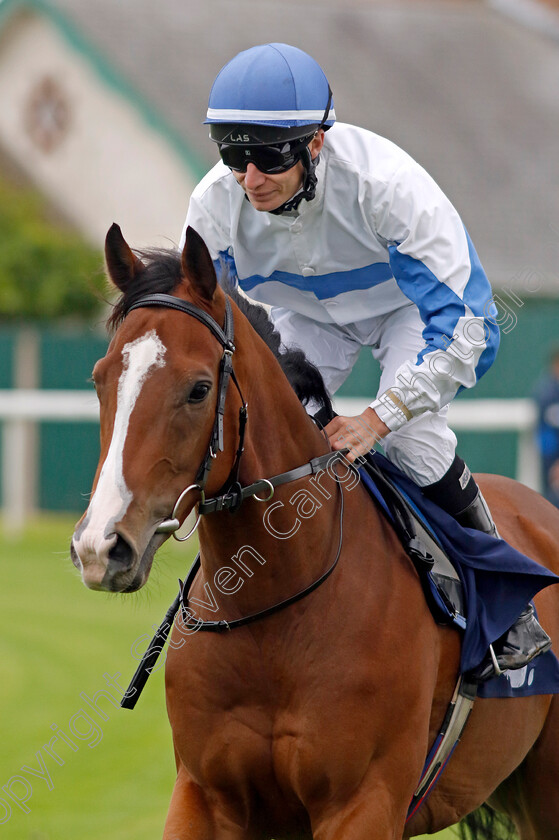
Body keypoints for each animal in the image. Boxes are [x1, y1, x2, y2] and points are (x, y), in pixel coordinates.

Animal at [71, 223, 559, 840]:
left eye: (199, 388)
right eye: (99, 379)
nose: (100, 546)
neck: (273, 604)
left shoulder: (362, 801)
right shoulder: (204, 795)